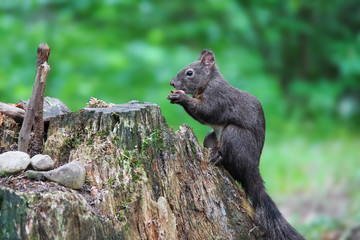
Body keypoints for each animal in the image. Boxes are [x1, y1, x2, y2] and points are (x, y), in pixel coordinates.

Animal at [168, 49, 304, 240]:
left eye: (189, 73)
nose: (172, 82)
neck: (209, 82)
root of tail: (253, 168)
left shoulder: (218, 98)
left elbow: (207, 111)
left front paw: (181, 97)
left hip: (235, 136)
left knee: (232, 163)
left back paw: (218, 157)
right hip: (210, 138)